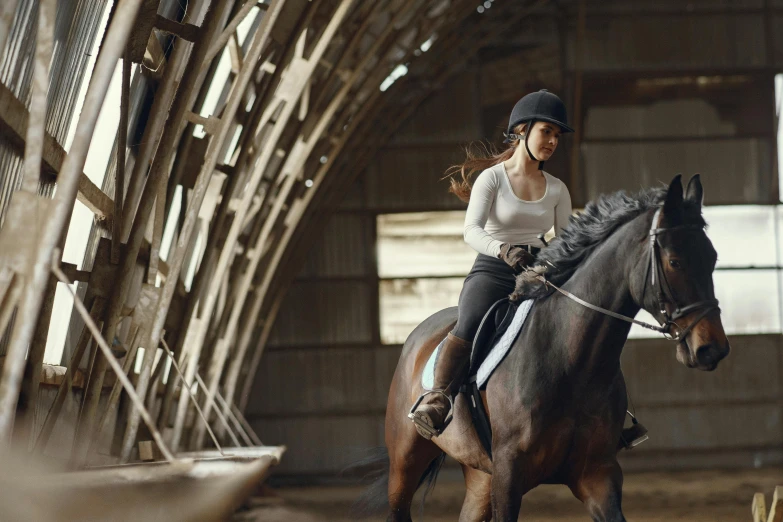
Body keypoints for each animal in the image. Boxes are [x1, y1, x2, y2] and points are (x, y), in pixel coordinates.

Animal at [364, 173, 732, 516]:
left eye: (714, 257)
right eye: (674, 261)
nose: (712, 349)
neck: (571, 361)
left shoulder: (597, 475)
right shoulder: (508, 476)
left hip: (480, 476)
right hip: (405, 465)